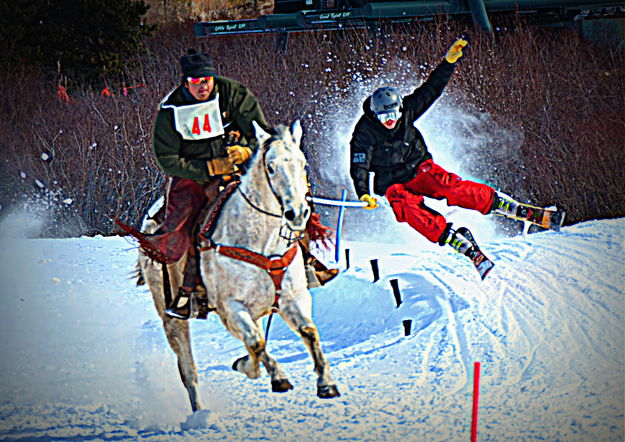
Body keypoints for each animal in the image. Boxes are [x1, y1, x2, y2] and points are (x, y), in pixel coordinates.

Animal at [138, 120, 338, 410]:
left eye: (302, 164)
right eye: (270, 167)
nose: (297, 214)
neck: (262, 242)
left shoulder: (292, 298)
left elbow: (307, 331)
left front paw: (325, 383)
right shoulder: (230, 309)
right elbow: (256, 343)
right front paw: (262, 372)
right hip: (171, 318)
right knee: (189, 370)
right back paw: (199, 410)